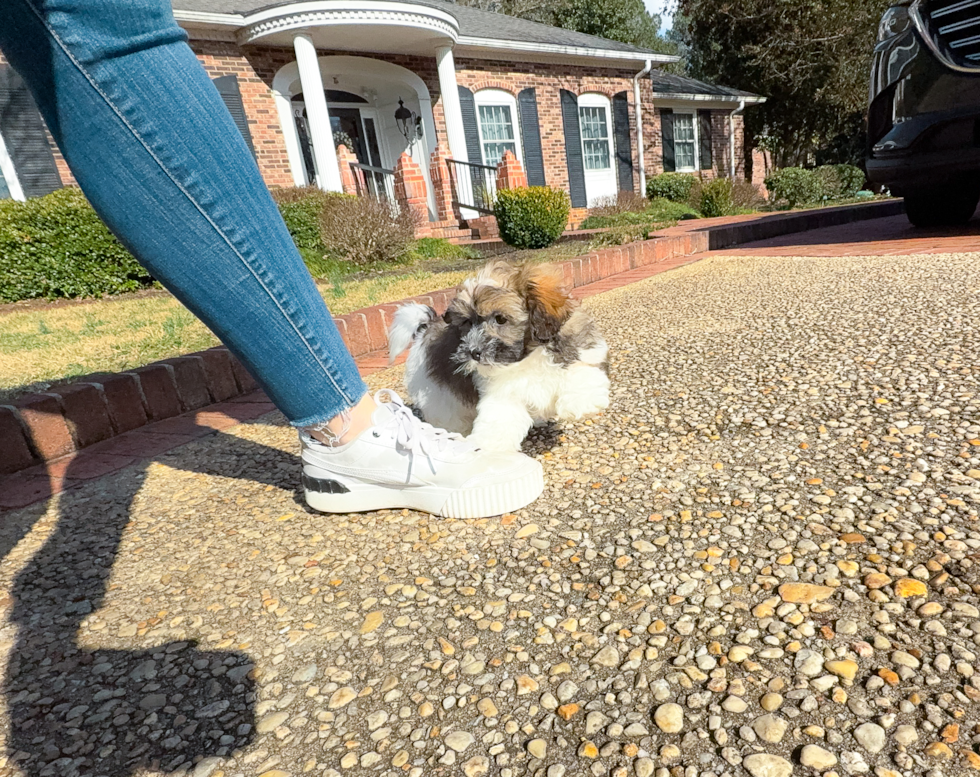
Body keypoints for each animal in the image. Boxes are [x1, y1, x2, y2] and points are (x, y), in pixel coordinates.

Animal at [386, 260, 608, 452]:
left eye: (500, 319)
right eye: (467, 322)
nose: (474, 352)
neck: (528, 356)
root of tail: (426, 328)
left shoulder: (580, 348)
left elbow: (581, 371)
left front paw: (580, 401)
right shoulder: (502, 394)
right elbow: (499, 417)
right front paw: (488, 447)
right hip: (439, 397)